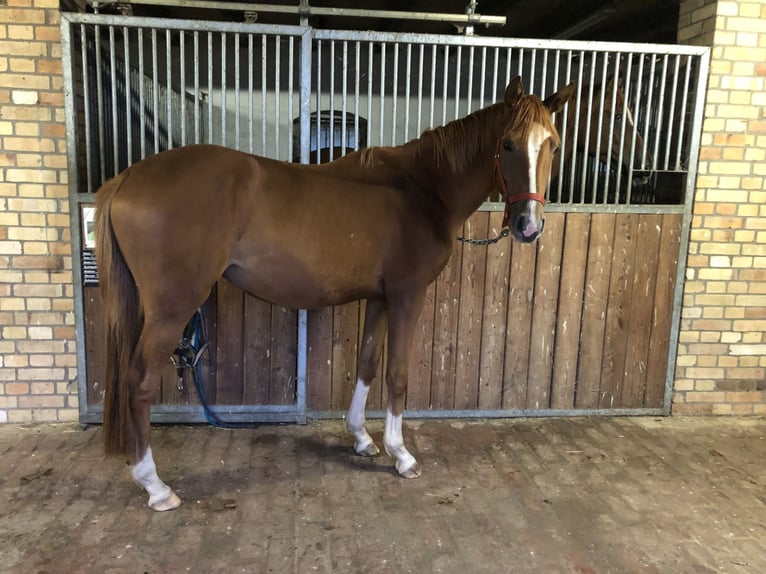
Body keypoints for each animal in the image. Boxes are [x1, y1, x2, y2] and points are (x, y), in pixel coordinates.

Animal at [96, 74, 576, 510]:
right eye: (508, 144)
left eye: (553, 144)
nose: (528, 226)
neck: (421, 189)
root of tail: (127, 179)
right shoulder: (407, 296)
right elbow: (397, 374)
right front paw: (401, 455)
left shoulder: (380, 297)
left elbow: (367, 364)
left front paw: (362, 438)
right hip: (171, 308)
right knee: (139, 382)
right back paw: (156, 486)